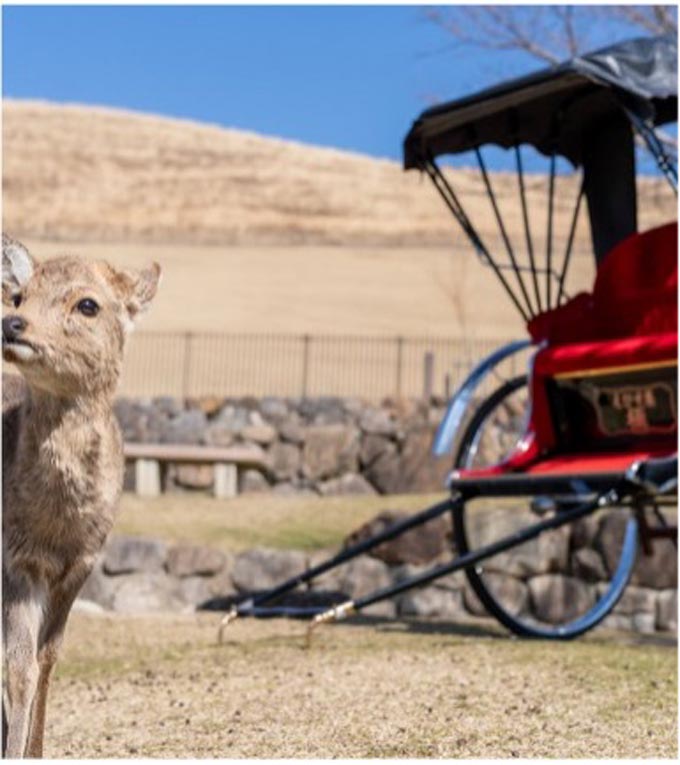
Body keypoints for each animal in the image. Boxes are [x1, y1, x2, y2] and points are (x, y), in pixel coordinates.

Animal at [2, 234, 161, 758]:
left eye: (88, 304)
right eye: (19, 296)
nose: (13, 324)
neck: (56, 529)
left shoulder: (82, 564)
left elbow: (48, 660)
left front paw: (36, 751)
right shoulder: (15, 560)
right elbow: (19, 668)